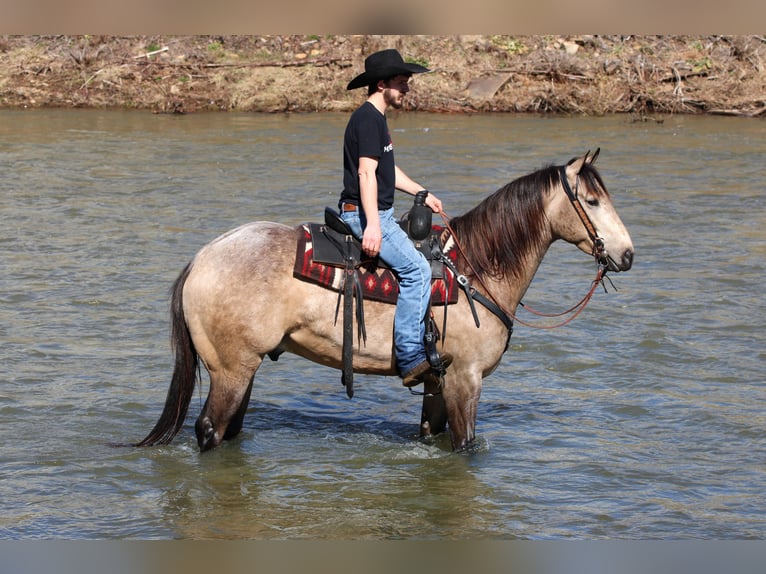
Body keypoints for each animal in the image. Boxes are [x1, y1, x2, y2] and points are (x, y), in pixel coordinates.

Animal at [136, 150, 634, 452]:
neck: (476, 271)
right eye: (591, 201)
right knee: (208, 431)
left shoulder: (438, 384)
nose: (627, 254)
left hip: (243, 370)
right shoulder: (465, 380)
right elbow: (466, 446)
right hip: (231, 370)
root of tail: (202, 258)